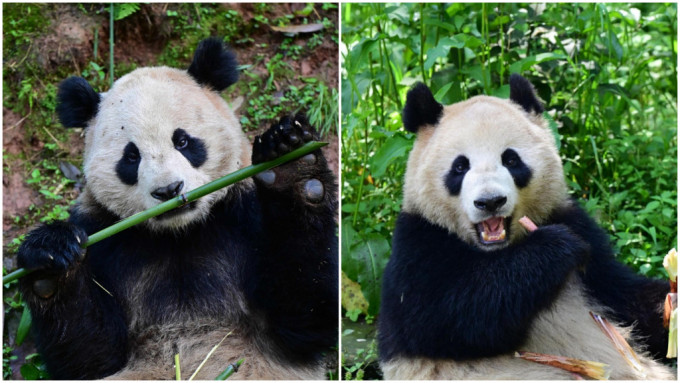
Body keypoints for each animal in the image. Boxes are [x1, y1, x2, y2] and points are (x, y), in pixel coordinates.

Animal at [17, 36, 340, 380]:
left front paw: (292, 164)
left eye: (183, 141)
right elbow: (90, 355)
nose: (168, 190)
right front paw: (49, 262)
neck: (181, 234)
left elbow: (305, 317)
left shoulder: (243, 214)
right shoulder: (104, 237)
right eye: (131, 156)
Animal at [378, 75, 676, 380]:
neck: (497, 251)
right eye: (460, 166)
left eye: (511, 160)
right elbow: (444, 318)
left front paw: (669, 303)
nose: (490, 201)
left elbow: (625, 297)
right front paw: (558, 247)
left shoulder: (572, 223)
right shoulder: (419, 243)